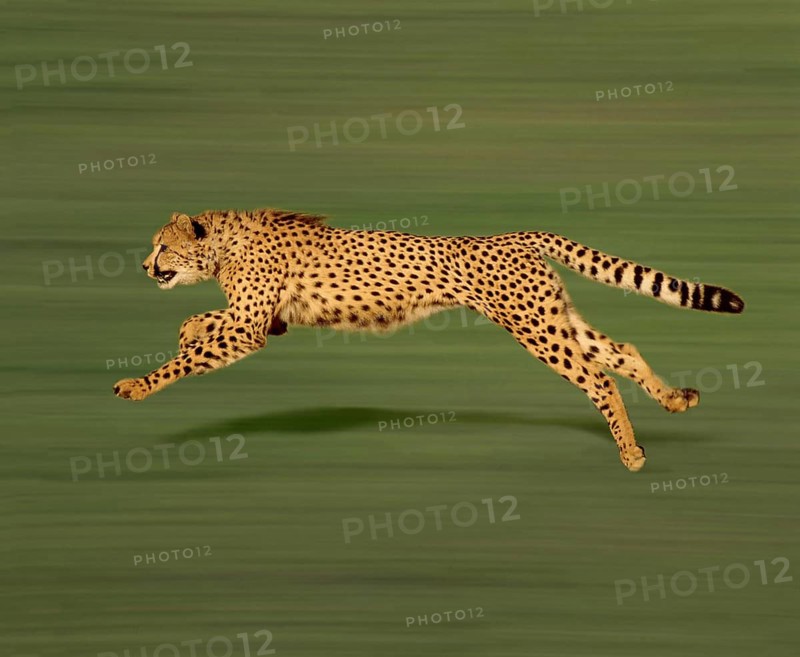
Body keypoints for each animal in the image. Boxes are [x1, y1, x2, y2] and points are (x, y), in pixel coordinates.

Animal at [113, 208, 745, 472]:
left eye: (163, 246)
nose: (144, 266)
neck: (224, 243)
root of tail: (513, 234)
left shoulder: (250, 328)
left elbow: (191, 353)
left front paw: (138, 384)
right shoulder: (262, 322)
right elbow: (199, 324)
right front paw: (186, 332)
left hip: (535, 328)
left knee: (597, 377)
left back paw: (632, 453)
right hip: (554, 317)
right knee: (622, 353)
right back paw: (675, 400)